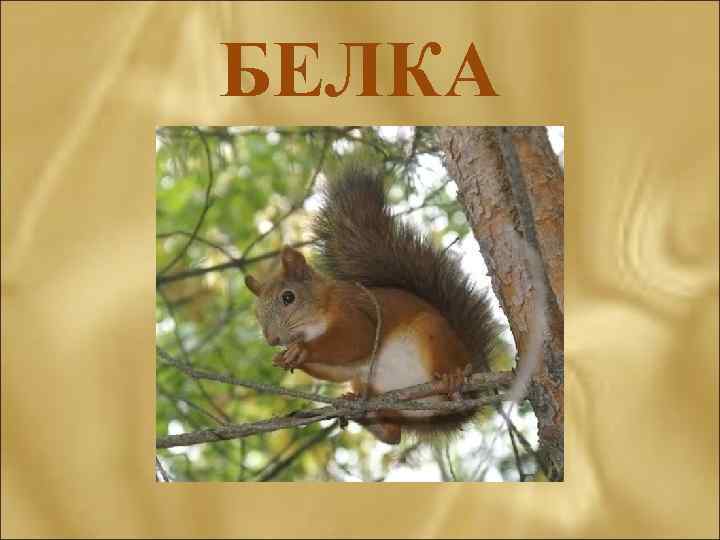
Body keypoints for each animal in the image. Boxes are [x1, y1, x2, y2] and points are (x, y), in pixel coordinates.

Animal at [245, 161, 499, 444]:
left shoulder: (355, 310)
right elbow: (341, 369)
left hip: (436, 336)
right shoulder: (350, 368)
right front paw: (286, 358)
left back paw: (453, 380)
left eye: (288, 297)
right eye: (257, 313)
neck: (318, 318)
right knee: (393, 435)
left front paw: (301, 351)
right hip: (370, 386)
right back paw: (361, 410)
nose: (272, 339)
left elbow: (357, 339)